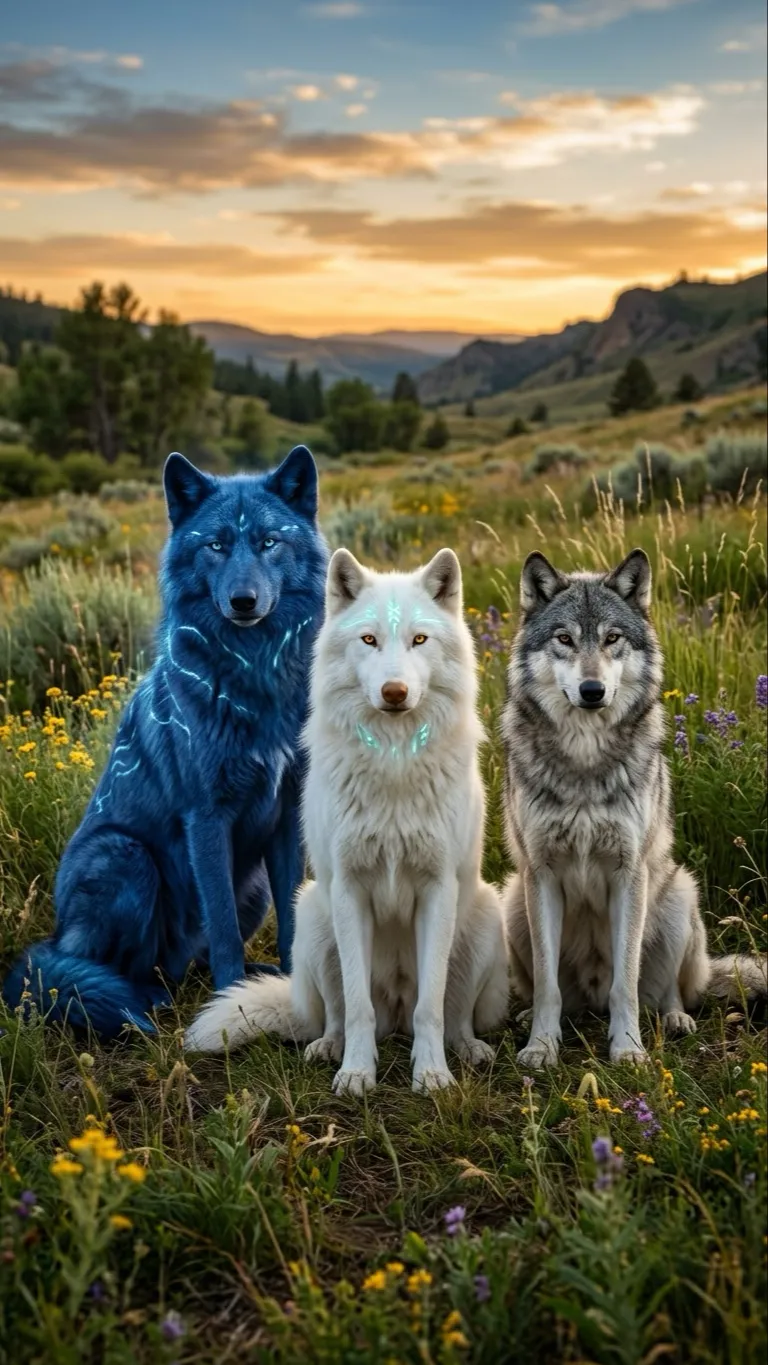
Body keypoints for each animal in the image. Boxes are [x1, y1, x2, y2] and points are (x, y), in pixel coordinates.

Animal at [2, 446, 328, 1037]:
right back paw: (139, 997)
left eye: (269, 542)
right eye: (215, 545)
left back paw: (253, 974)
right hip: (126, 857)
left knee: (187, 962)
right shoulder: (205, 818)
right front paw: (230, 1007)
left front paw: (288, 991)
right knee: (106, 970)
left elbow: (291, 916)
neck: (255, 676)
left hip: (252, 886)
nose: (243, 601)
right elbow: (221, 926)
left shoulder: (285, 815)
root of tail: (52, 940)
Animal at [185, 547, 510, 1093]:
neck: (394, 762)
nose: (395, 692)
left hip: (484, 917)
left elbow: (431, 1008)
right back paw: (328, 1048)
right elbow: (357, 1007)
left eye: (419, 639)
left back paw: (467, 1051)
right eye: (369, 640)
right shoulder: (350, 890)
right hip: (313, 917)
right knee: (337, 1016)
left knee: (452, 1015)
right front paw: (357, 1073)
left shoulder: (438, 888)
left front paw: (431, 1076)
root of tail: (395, 1018)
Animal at [502, 548, 766, 1068]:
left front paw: (628, 1048)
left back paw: (675, 1019)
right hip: (512, 903)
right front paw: (541, 1047)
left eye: (612, 638)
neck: (585, 758)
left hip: (679, 894)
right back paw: (529, 1021)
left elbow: (627, 983)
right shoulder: (540, 873)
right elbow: (546, 988)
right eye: (565, 639)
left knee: (666, 992)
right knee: (562, 995)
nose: (592, 691)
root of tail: (591, 997)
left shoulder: (630, 872)